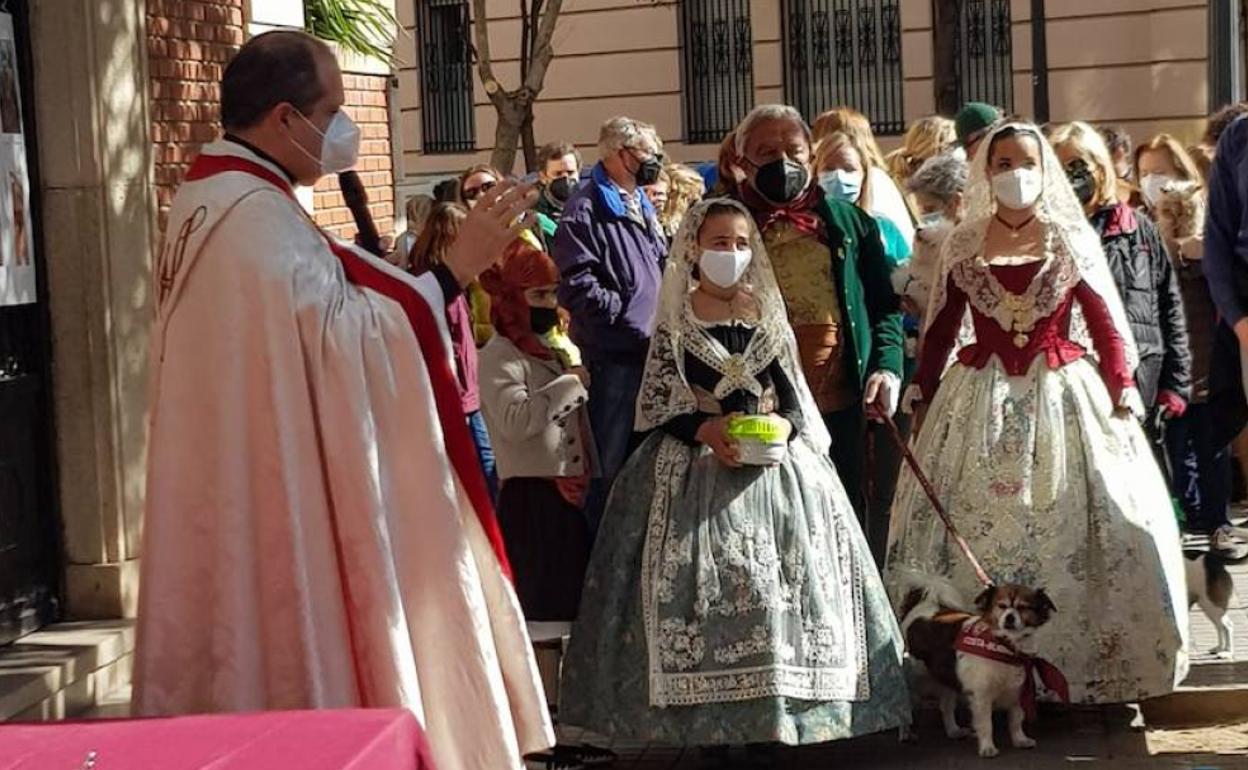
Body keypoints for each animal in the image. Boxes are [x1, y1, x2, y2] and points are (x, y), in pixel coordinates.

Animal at [898, 579, 1063, 753]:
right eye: (1001, 606)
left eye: (1023, 607)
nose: (1009, 617)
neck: (1005, 646)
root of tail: (919, 608)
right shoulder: (981, 696)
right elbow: (986, 724)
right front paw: (987, 748)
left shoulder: (1017, 692)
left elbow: (1016, 720)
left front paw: (1020, 740)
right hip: (915, 680)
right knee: (903, 707)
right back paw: (906, 733)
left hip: (948, 676)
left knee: (946, 706)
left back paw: (953, 731)